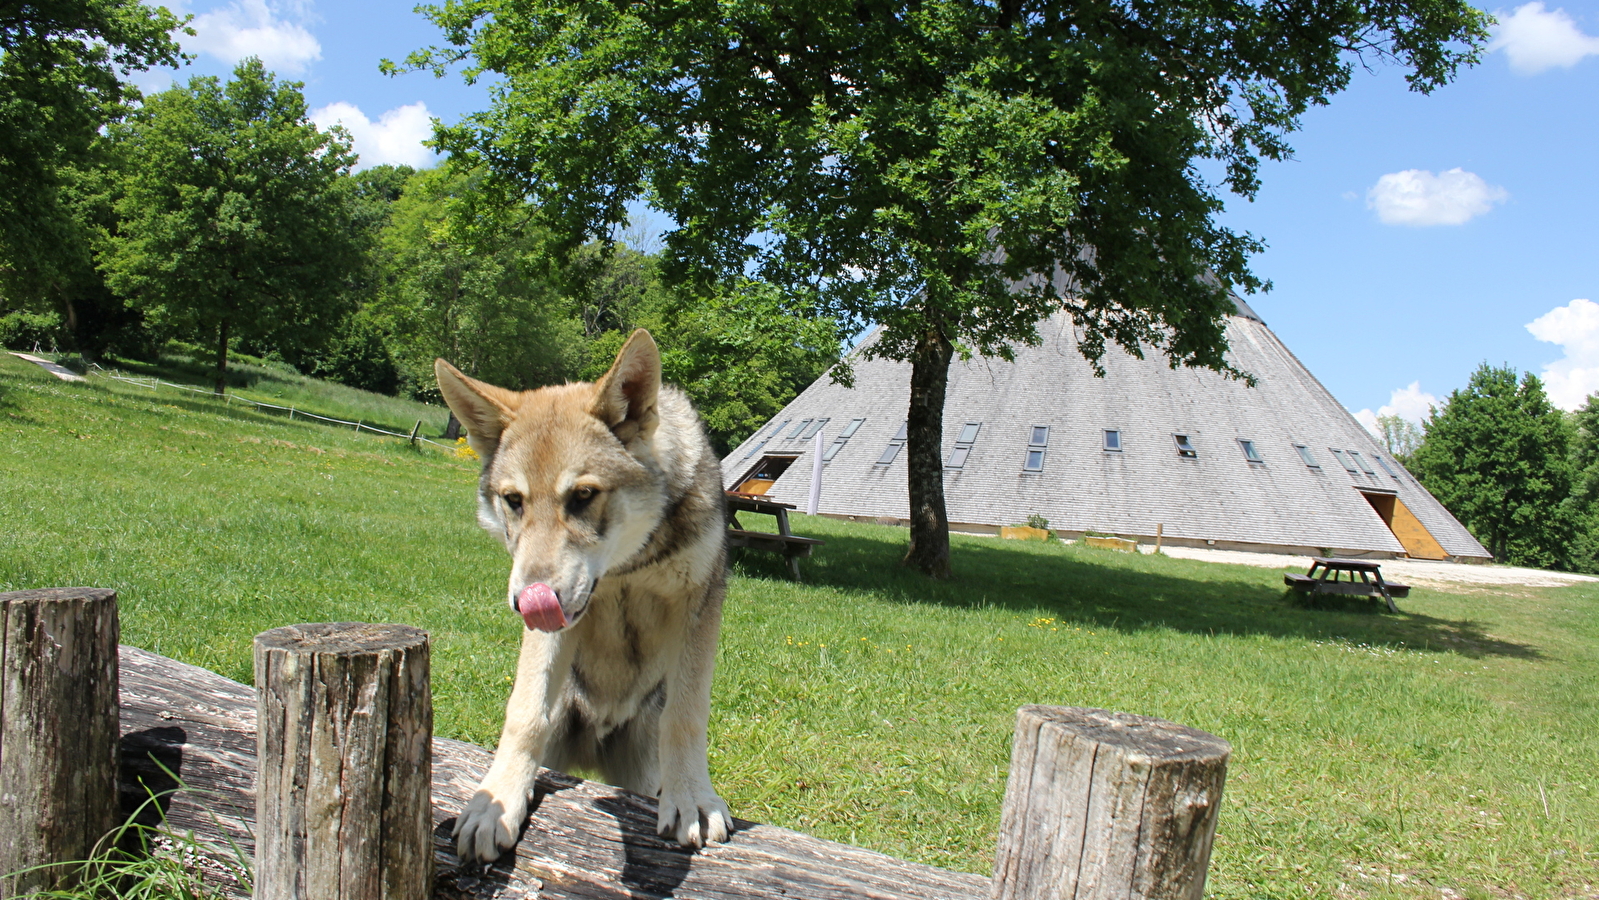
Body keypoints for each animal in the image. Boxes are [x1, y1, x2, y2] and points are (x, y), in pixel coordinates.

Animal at [434, 329, 734, 864]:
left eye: (583, 496)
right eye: (514, 501)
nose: (527, 600)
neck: (627, 566)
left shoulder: (698, 604)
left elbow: (686, 714)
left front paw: (693, 800)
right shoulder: (557, 623)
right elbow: (524, 713)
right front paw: (495, 802)